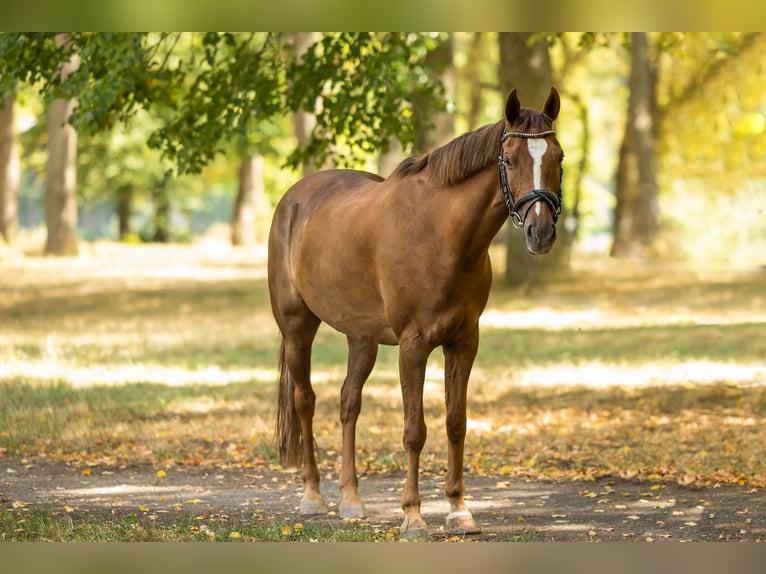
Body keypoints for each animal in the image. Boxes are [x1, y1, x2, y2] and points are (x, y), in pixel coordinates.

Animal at [268, 86, 564, 540]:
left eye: (558, 158)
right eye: (511, 159)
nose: (541, 232)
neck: (442, 234)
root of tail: (294, 198)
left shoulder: (464, 342)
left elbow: (456, 422)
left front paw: (459, 510)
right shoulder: (414, 345)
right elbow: (414, 430)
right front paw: (413, 516)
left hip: (362, 337)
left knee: (348, 403)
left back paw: (351, 500)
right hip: (298, 328)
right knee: (306, 402)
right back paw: (313, 496)